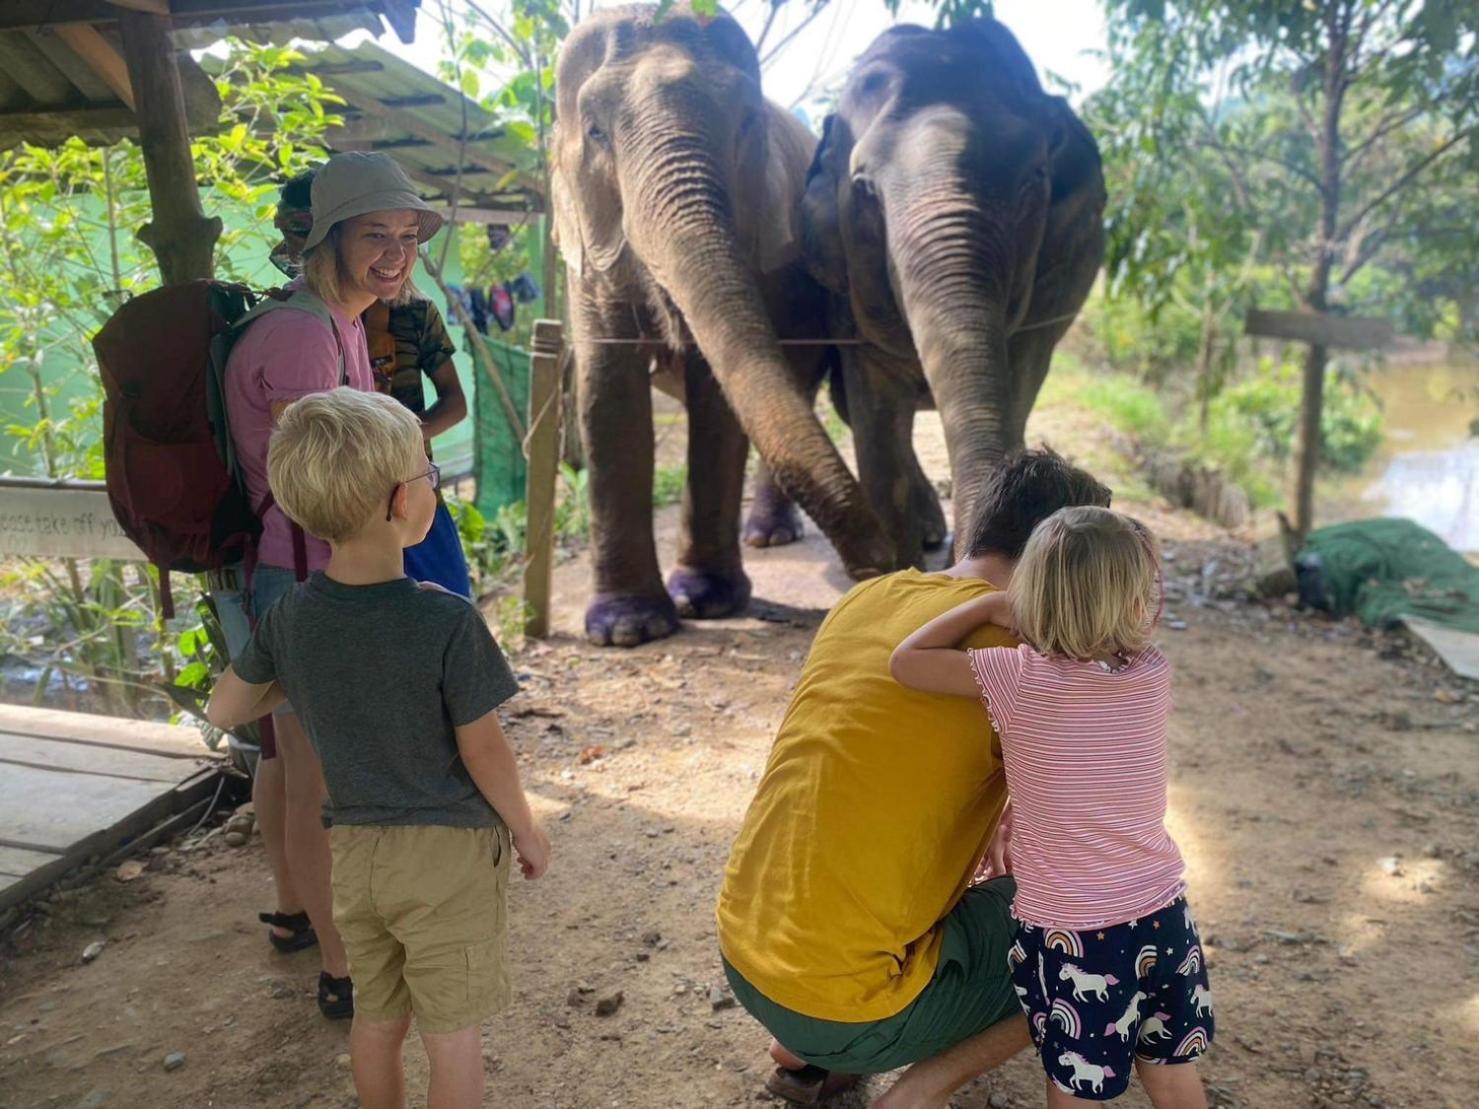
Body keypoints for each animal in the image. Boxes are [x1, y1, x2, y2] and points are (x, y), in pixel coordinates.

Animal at [556, 4, 899, 647]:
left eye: (745, 123)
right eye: (594, 132)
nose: (887, 565)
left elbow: (717, 400)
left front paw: (705, 602)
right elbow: (607, 391)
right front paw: (627, 630)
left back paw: (767, 538)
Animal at [804, 17, 1106, 567]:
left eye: (1033, 180)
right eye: (864, 189)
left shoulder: (1057, 285)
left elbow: (1019, 385)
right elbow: (875, 413)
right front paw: (900, 569)